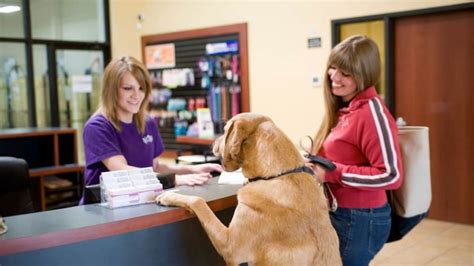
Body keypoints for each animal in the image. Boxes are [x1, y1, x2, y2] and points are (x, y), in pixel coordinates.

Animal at [157, 112, 342, 266]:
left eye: (225, 130)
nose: (212, 143)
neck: (276, 174)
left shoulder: (230, 246)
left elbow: (199, 201)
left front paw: (167, 196)